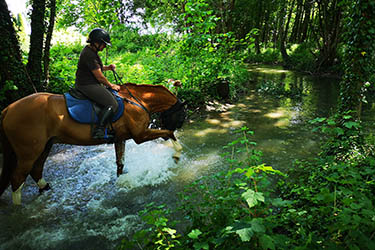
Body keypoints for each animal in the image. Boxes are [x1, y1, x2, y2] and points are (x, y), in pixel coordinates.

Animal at [0, 83, 187, 204]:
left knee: (36, 170)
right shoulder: (140, 135)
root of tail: (8, 108)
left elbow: (120, 163)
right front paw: (177, 154)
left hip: (46, 146)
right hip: (28, 152)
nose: (179, 125)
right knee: (17, 179)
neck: (137, 100)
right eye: (181, 115)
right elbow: (168, 133)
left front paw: (121, 183)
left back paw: (46, 190)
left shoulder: (120, 138)